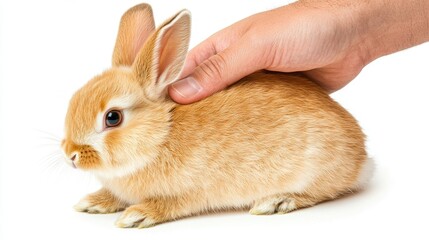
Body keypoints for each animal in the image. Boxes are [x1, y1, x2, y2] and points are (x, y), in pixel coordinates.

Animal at [60, 3, 372, 229]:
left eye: (112, 118)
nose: (71, 155)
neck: (160, 137)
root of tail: (362, 158)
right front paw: (93, 203)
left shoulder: (190, 192)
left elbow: (170, 205)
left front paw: (137, 215)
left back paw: (276, 201)